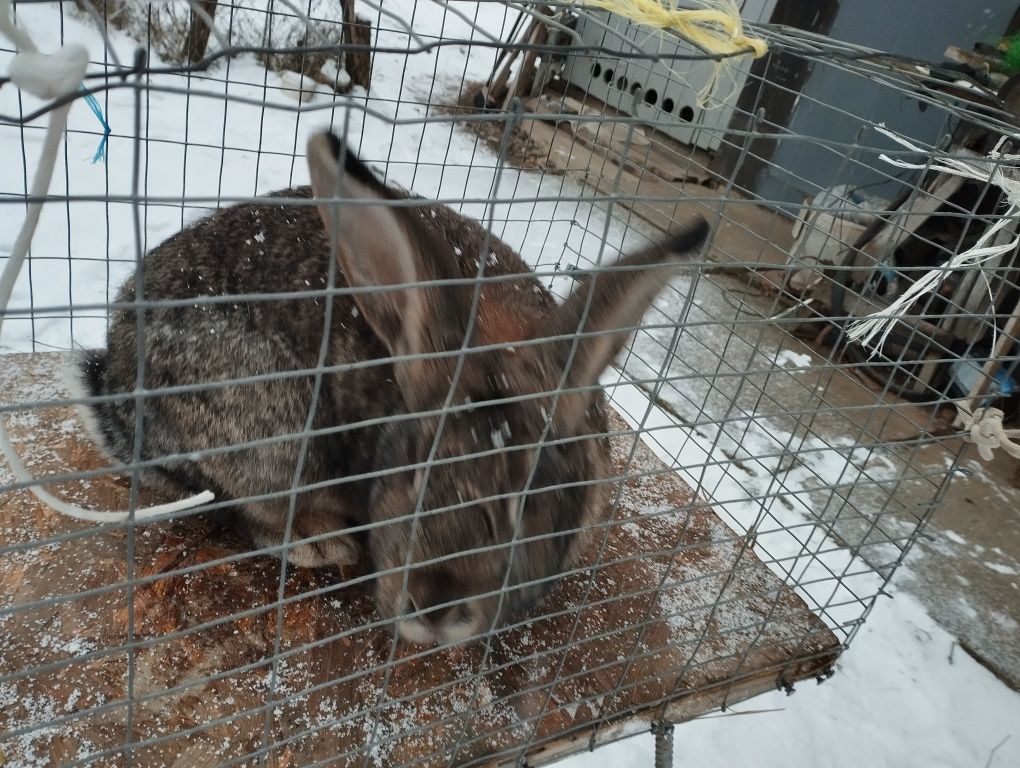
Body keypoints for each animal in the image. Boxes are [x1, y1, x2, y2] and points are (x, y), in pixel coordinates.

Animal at [79, 131, 705, 648]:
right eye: (411, 471)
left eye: (528, 500)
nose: (432, 604)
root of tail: (116, 376)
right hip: (274, 432)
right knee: (252, 506)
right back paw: (320, 541)